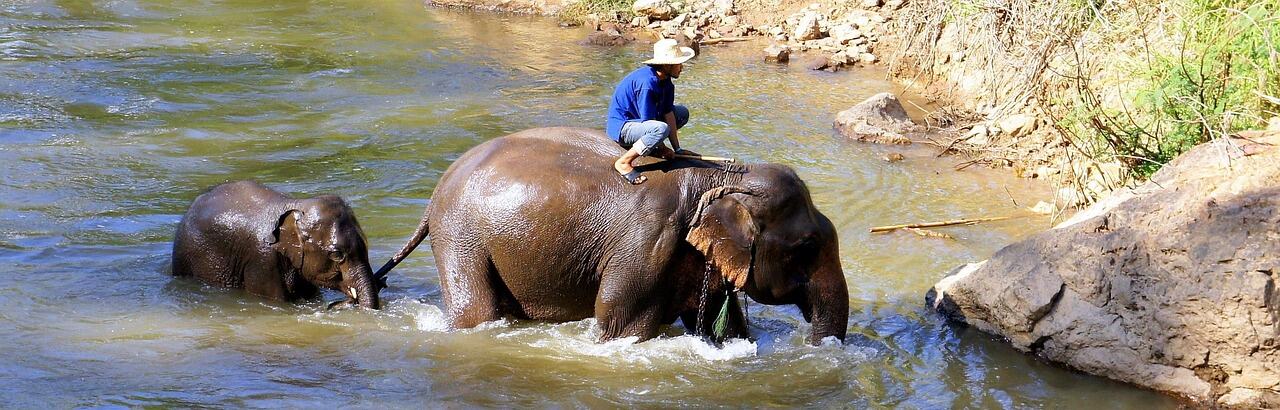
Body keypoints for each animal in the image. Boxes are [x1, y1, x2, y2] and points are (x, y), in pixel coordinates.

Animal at [376, 127, 848, 344]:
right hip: (461, 237)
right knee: (476, 310)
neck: (722, 179)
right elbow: (620, 322)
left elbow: (724, 326)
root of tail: (439, 187)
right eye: (807, 247)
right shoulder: (647, 242)